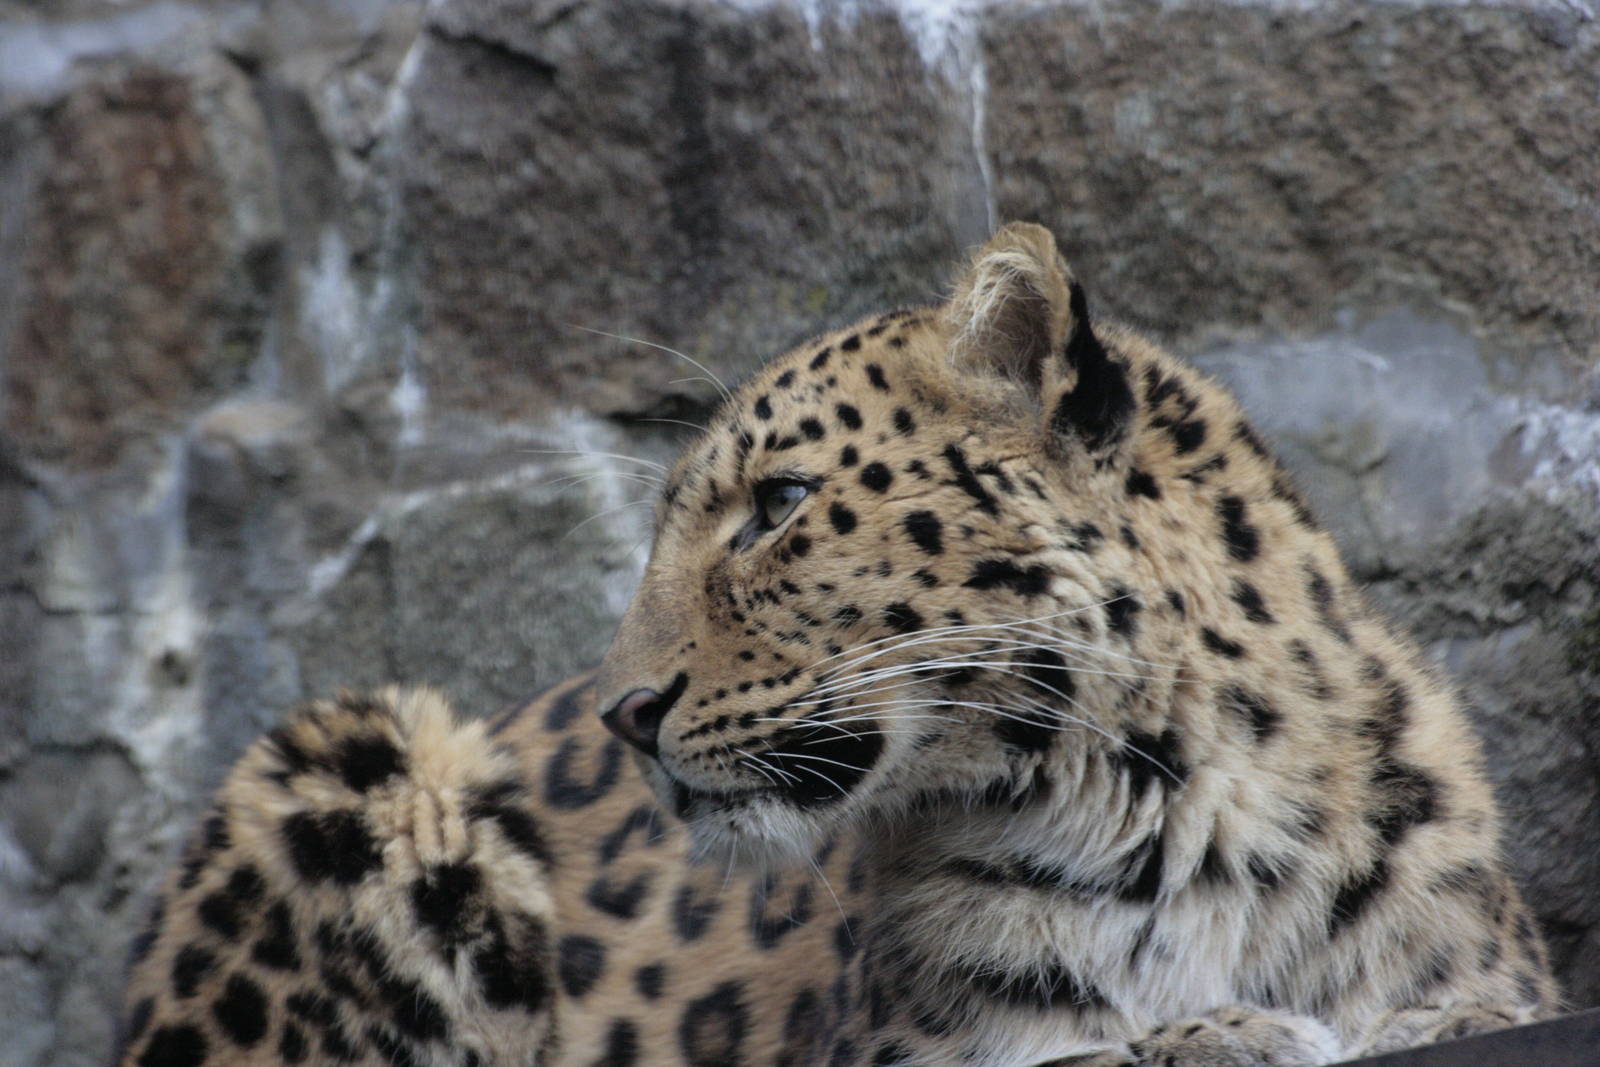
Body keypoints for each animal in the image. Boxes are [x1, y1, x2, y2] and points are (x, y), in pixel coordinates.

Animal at [117, 223, 1559, 1067]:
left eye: (780, 504)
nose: (619, 711)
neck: (1181, 808)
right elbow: (1077, 1050)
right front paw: (1221, 1029)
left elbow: (1476, 1003)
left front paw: (1413, 1016)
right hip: (349, 746)